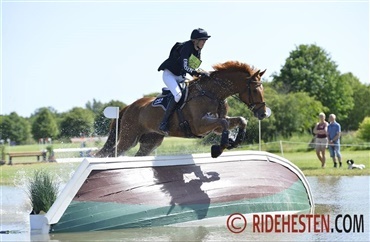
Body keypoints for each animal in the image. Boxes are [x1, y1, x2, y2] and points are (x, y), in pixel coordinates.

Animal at [96, 60, 266, 158]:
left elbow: (239, 120)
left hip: (151, 141)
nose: (263, 114)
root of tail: (128, 107)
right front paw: (220, 148)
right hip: (129, 138)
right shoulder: (199, 125)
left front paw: (235, 141)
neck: (213, 93)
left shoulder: (215, 126)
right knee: (113, 152)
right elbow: (224, 123)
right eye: (255, 90)